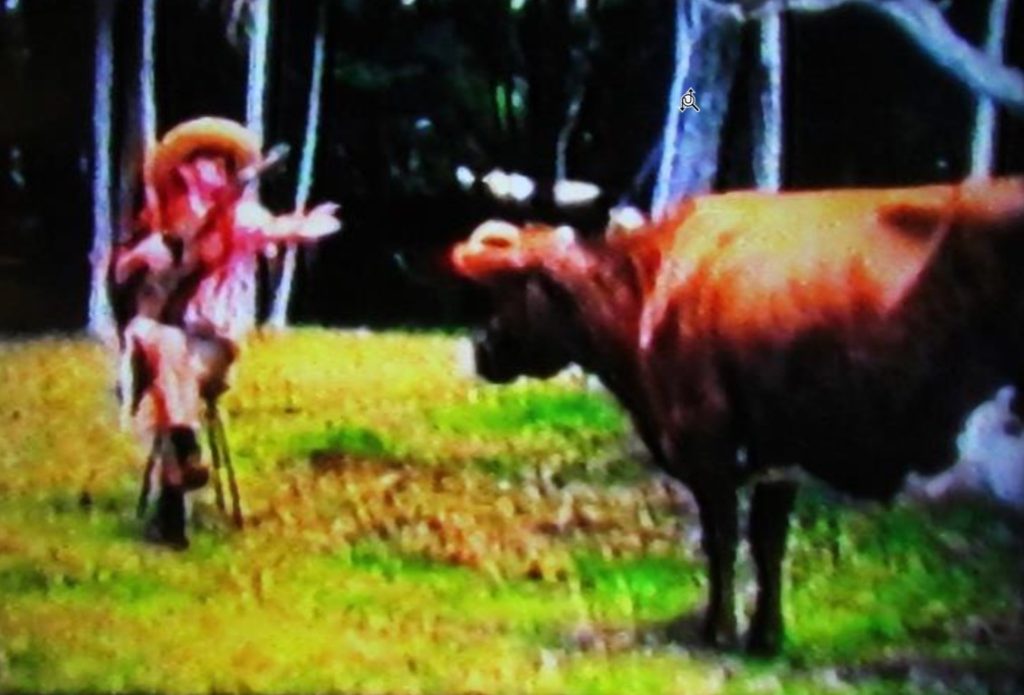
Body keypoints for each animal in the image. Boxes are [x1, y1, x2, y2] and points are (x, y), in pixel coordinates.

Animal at [452, 178, 1024, 650]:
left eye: (507, 291)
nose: (483, 350)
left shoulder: (705, 445)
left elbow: (722, 541)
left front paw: (718, 631)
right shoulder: (779, 454)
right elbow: (769, 545)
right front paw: (767, 638)